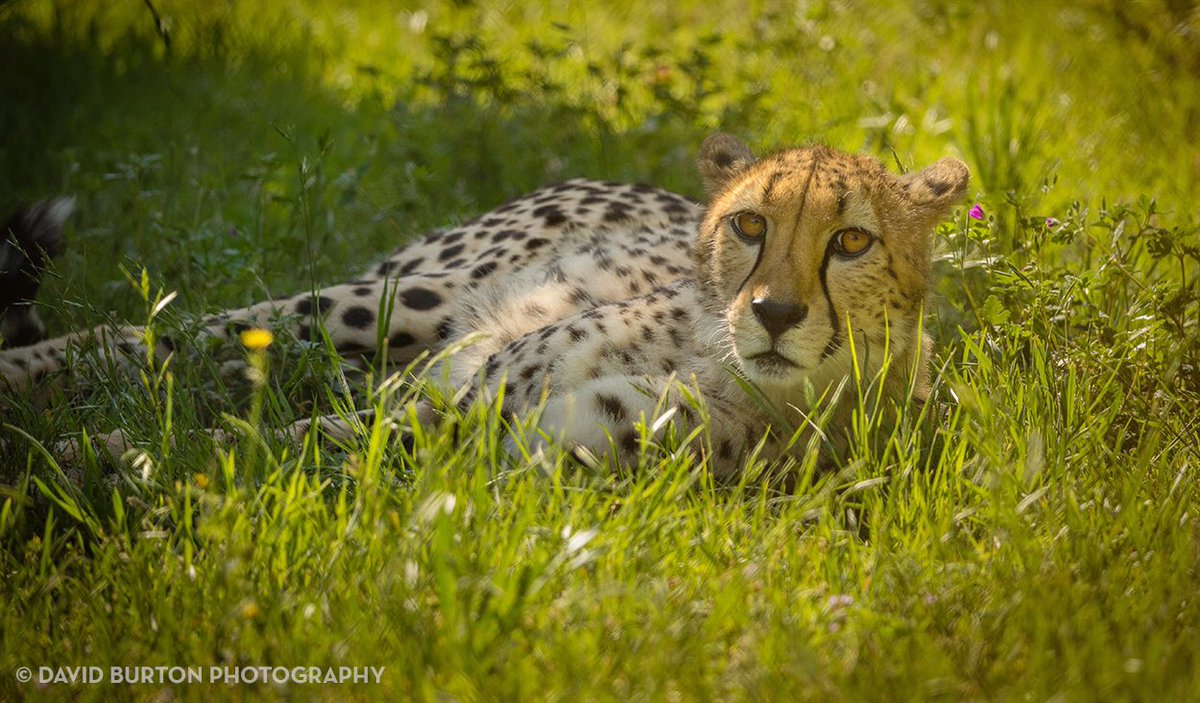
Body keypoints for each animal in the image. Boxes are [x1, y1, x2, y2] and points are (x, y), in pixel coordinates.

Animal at [0, 133, 967, 477]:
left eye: (851, 241)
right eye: (751, 225)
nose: (772, 313)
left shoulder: (496, 442)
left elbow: (255, 447)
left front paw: (89, 464)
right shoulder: (456, 402)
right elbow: (247, 441)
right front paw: (73, 461)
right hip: (389, 302)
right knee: (145, 337)